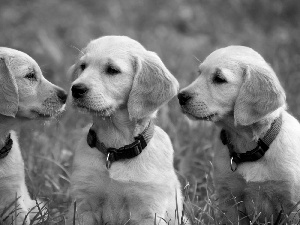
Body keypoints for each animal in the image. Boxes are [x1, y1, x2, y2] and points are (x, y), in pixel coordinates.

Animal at [68, 36, 188, 224]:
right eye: (83, 66)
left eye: (112, 70)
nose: (76, 89)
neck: (115, 150)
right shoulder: (83, 205)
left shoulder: (148, 211)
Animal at [178, 45, 300, 223]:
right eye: (199, 73)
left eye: (219, 79)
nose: (180, 96)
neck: (250, 147)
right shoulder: (230, 200)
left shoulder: (292, 205)